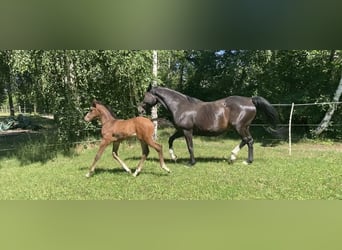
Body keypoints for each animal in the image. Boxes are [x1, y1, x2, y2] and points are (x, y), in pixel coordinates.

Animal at [138, 86, 280, 166]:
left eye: (145, 95)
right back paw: (240, 159)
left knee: (247, 140)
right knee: (249, 141)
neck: (180, 106)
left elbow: (190, 146)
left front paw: (191, 163)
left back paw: (239, 159)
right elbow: (170, 139)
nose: (140, 110)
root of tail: (250, 100)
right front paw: (174, 157)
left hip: (239, 127)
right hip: (245, 127)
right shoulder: (180, 130)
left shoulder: (187, 131)